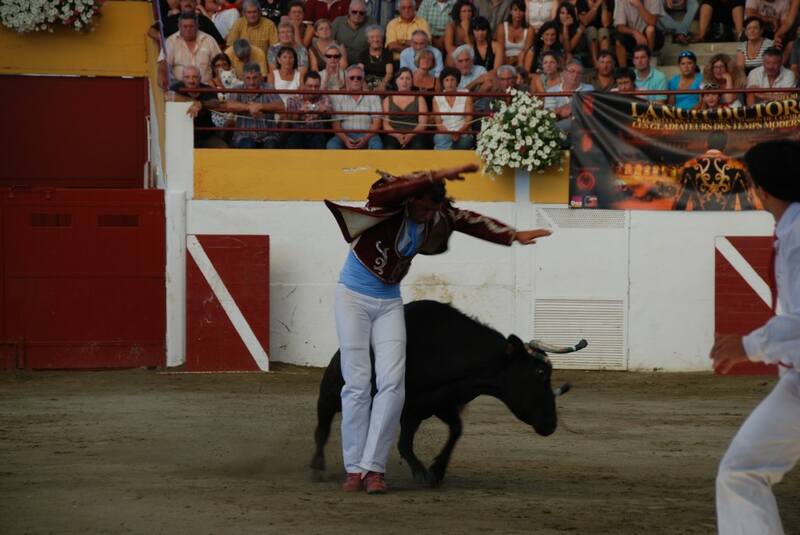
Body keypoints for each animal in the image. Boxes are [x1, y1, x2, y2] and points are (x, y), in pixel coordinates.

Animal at [310, 302, 584, 486]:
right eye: (540, 373)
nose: (551, 424)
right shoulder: (409, 409)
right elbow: (405, 444)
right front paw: (422, 473)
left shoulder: (439, 405)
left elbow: (455, 431)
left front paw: (437, 470)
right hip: (330, 395)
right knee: (322, 428)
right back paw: (318, 467)